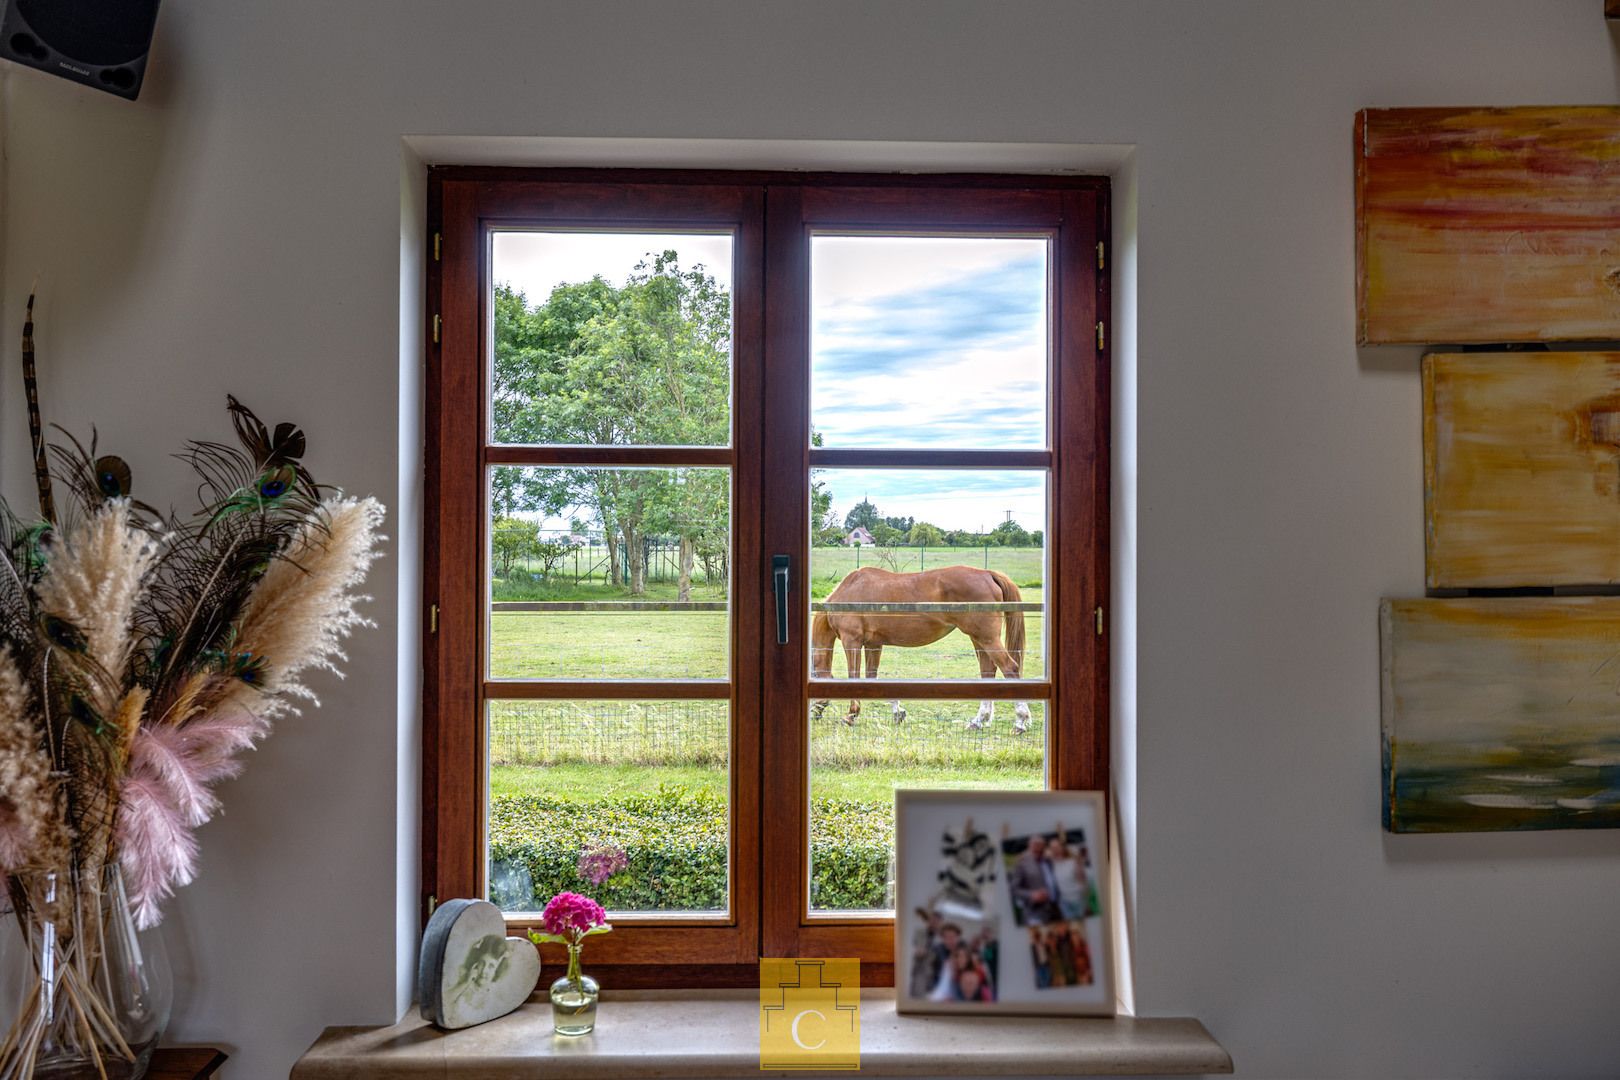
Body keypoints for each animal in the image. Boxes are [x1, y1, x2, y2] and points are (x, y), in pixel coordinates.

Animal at [806, 566, 1023, 735]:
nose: (812, 714)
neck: (849, 591)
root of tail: (987, 574)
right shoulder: (873, 644)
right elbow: (872, 679)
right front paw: (898, 713)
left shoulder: (852, 641)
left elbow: (854, 678)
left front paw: (851, 715)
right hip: (979, 639)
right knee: (988, 672)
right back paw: (978, 722)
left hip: (987, 639)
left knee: (1010, 668)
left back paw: (1020, 723)